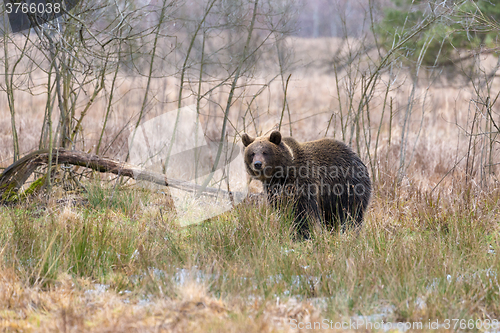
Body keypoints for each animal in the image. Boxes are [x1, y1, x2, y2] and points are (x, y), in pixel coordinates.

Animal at [242, 129, 372, 236]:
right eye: (252, 153)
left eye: (265, 152)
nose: (257, 164)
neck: (282, 173)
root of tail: (358, 158)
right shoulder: (274, 189)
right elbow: (281, 208)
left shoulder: (303, 181)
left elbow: (303, 212)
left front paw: (301, 234)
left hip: (347, 186)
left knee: (350, 213)